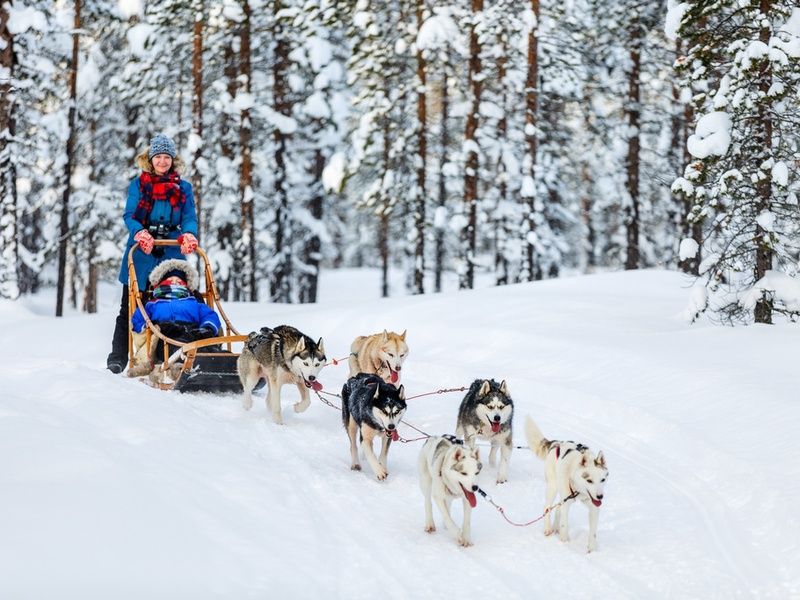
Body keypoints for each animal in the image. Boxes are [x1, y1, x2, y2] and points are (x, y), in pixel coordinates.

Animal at [520, 414, 608, 552]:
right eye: (589, 480)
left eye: (602, 480)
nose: (600, 497)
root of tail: (557, 443)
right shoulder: (567, 503)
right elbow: (564, 524)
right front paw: (564, 541)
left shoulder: (594, 508)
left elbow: (593, 532)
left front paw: (592, 550)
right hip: (553, 487)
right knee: (547, 508)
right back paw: (548, 528)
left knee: (558, 508)